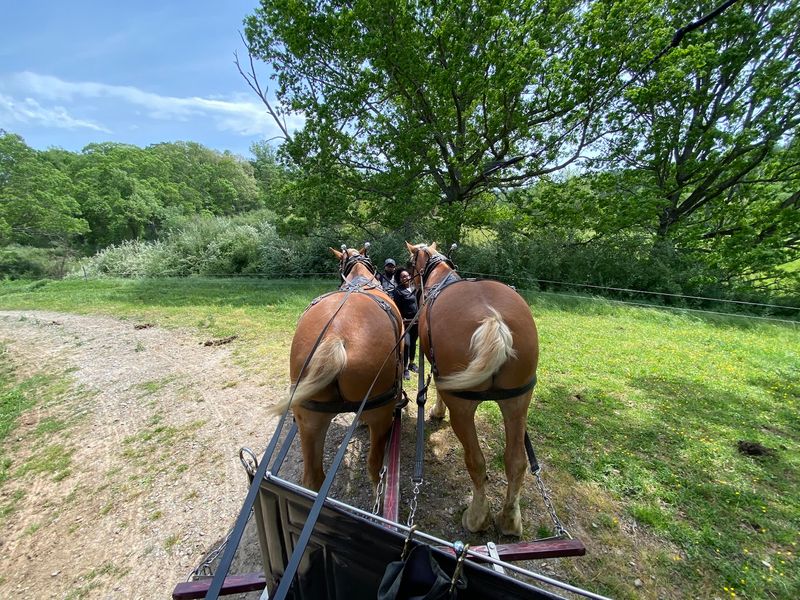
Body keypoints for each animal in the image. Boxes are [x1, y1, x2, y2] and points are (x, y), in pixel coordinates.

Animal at [270, 247, 404, 491]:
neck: (359, 279)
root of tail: (335, 336)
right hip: (379, 413)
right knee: (374, 468)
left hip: (309, 419)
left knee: (313, 478)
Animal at [406, 242, 539, 537]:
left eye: (410, 263)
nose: (408, 282)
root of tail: (493, 320)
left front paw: (436, 412)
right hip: (518, 401)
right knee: (516, 462)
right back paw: (510, 520)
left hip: (463, 406)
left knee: (476, 461)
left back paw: (476, 517)